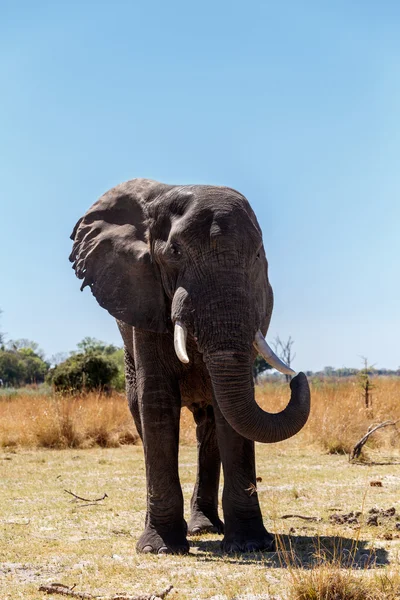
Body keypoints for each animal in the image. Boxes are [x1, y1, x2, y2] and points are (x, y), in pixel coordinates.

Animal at [70, 177, 310, 552]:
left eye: (258, 256)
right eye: (174, 253)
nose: (299, 378)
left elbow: (230, 413)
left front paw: (251, 545)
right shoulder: (144, 296)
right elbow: (157, 401)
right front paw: (159, 548)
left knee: (209, 423)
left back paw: (204, 528)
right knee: (140, 411)